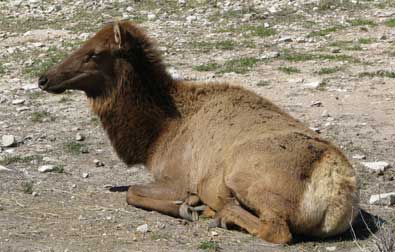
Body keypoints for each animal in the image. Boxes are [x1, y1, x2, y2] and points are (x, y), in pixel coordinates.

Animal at [38, 20, 360, 243]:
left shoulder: (176, 177)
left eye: (94, 53)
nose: (44, 78)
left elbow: (131, 192)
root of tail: (338, 190)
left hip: (242, 174)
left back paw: (217, 212)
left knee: (276, 230)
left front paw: (187, 206)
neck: (157, 137)